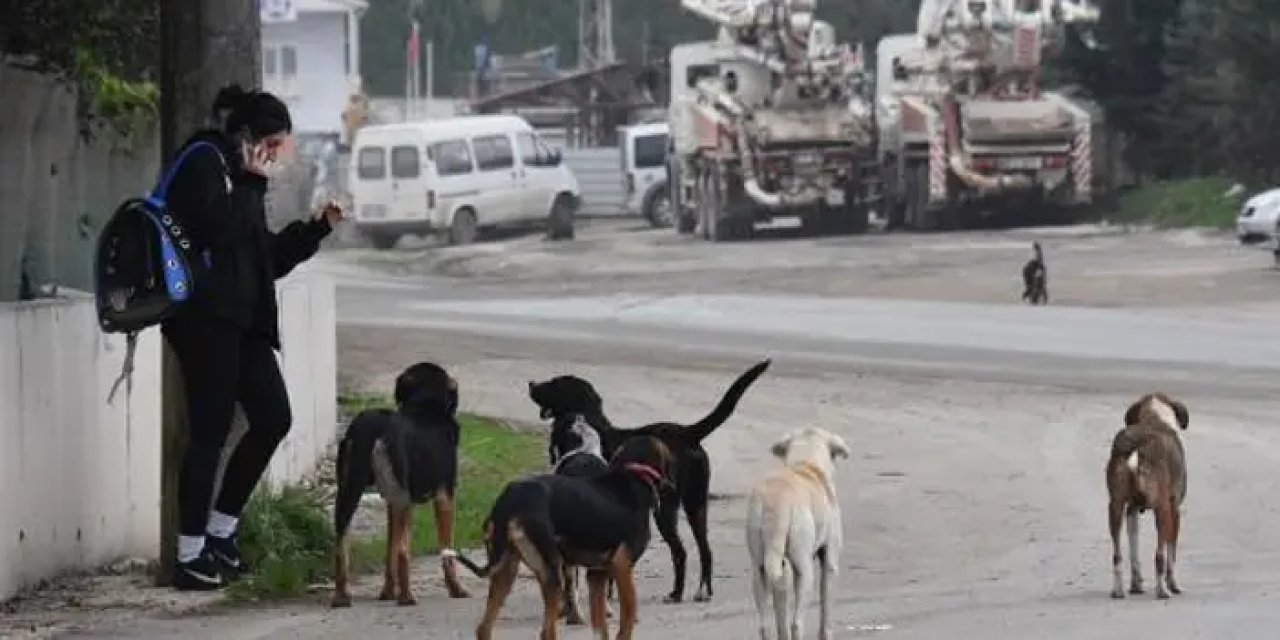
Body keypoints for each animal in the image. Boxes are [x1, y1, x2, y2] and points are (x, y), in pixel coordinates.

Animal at [330, 363, 471, 606]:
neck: (424, 405)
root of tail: (378, 427)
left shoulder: (390, 502)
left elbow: (390, 551)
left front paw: (387, 592)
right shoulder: (445, 496)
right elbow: (446, 553)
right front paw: (456, 589)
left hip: (349, 491)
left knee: (341, 542)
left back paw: (342, 596)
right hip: (405, 500)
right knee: (405, 550)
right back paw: (407, 597)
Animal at [460, 435, 680, 640]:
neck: (634, 476)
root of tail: (508, 501)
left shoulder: (596, 575)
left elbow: (601, 627)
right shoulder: (622, 565)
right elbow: (628, 617)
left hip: (506, 570)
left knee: (483, 629)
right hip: (551, 570)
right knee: (546, 632)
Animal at [529, 360, 768, 604]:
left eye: (555, 384)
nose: (531, 383)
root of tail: (688, 433)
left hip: (668, 510)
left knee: (682, 550)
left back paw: (683, 592)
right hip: (695, 504)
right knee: (701, 550)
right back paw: (695, 591)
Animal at [742, 424, 849, 640]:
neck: (805, 464)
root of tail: (777, 501)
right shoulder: (830, 562)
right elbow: (826, 610)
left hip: (759, 569)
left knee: (767, 624)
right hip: (804, 569)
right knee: (796, 623)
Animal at [1100, 389, 1187, 599]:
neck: (1155, 417)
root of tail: (1138, 446)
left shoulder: (1131, 510)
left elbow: (1134, 551)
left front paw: (1135, 584)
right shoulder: (1174, 509)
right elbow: (1172, 552)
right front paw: (1174, 584)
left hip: (1115, 507)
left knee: (1117, 555)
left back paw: (1118, 590)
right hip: (1162, 510)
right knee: (1159, 556)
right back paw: (1162, 590)